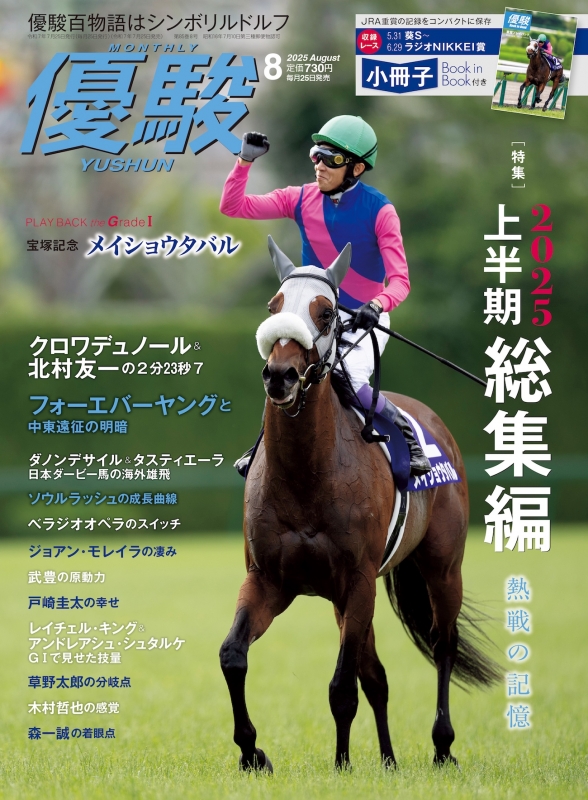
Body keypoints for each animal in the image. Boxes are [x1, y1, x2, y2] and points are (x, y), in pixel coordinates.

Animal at [219, 238, 500, 772]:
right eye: (272, 307)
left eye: (327, 313)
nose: (280, 375)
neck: (307, 474)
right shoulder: (269, 580)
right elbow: (233, 656)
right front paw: (252, 752)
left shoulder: (358, 580)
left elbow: (341, 686)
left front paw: (342, 764)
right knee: (378, 676)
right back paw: (389, 760)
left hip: (441, 567)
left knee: (443, 644)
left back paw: (442, 746)